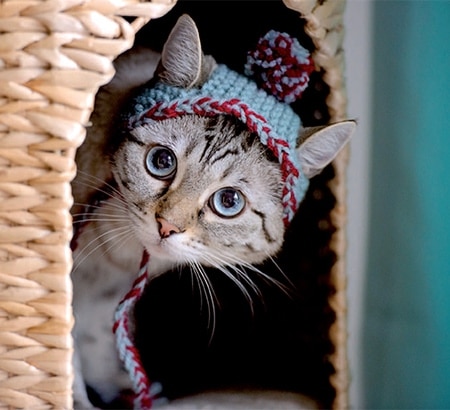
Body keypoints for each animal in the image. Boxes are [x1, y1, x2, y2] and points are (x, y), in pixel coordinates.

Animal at [71, 13, 356, 410]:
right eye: (162, 162)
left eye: (229, 201)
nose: (166, 226)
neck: (116, 258)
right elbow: (65, 345)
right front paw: (73, 398)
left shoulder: (106, 296)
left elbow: (94, 339)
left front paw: (118, 389)